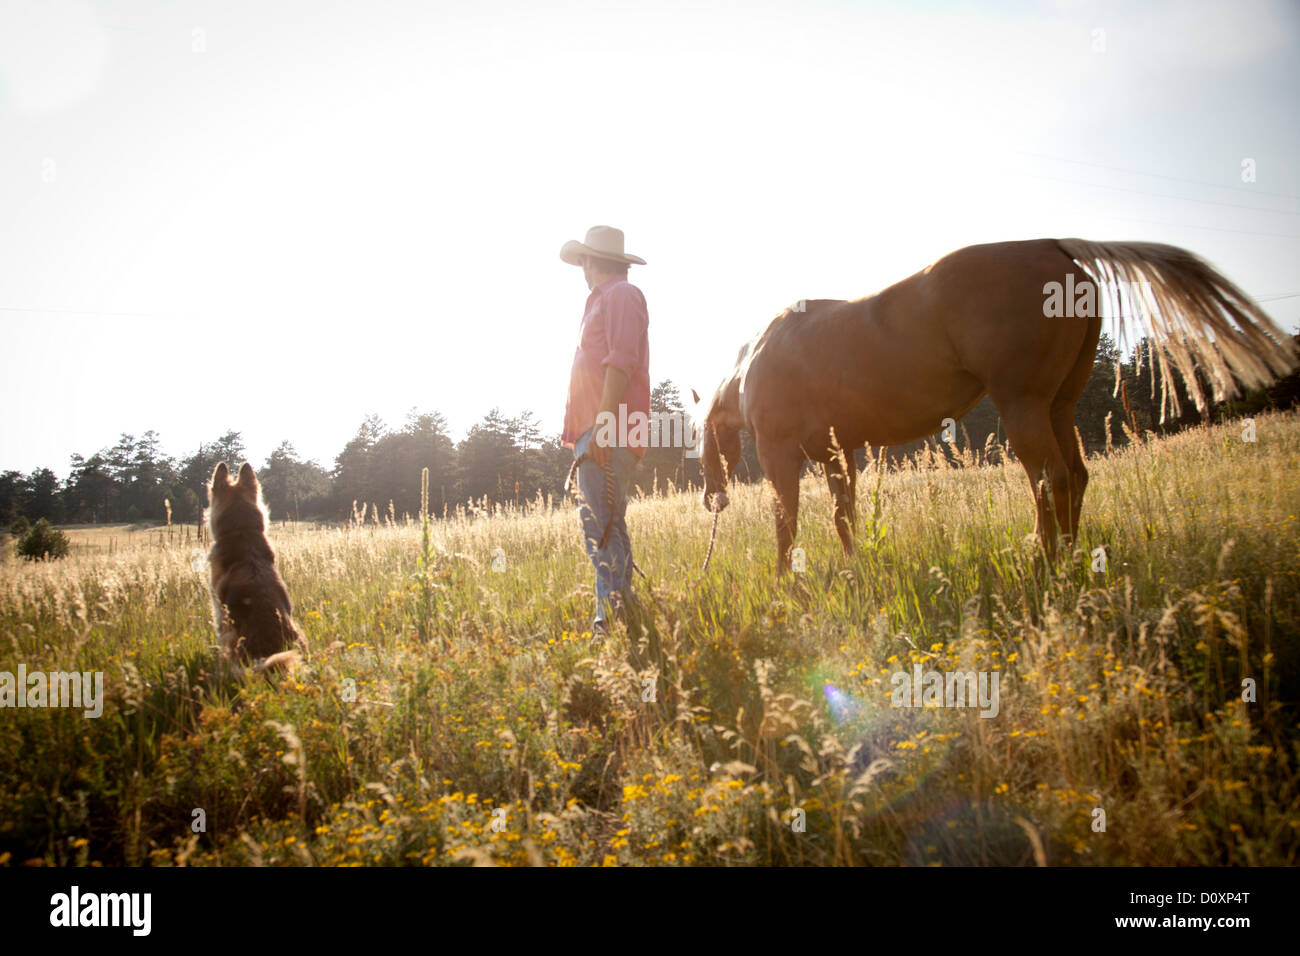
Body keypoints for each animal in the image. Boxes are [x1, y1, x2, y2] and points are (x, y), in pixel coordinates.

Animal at [707, 238, 1294, 572]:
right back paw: (1066, 554)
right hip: (1058, 405)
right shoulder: (837, 454)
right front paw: (856, 568)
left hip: (1022, 404)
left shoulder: (783, 454)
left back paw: (1043, 559)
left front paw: (786, 582)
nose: (713, 498)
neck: (754, 361)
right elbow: (842, 515)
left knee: (1050, 478)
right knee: (1075, 475)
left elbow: (786, 520)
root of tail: (1057, 245)